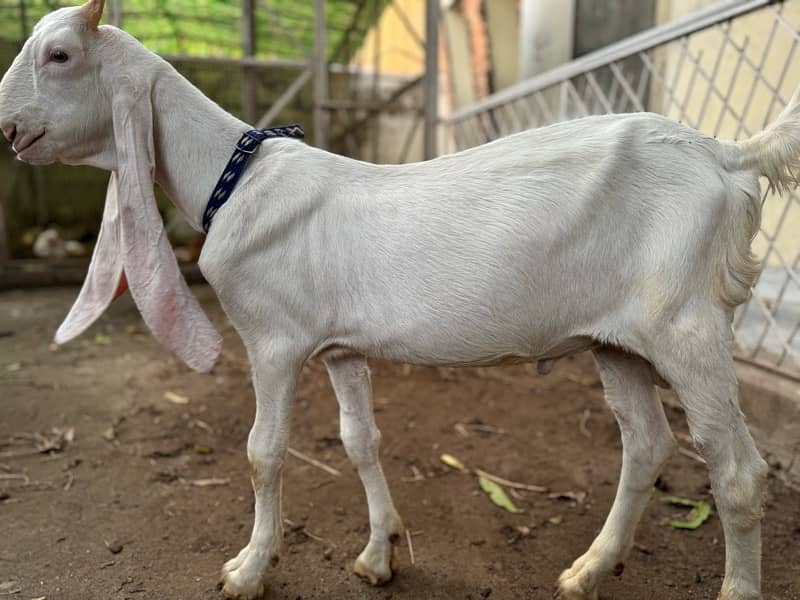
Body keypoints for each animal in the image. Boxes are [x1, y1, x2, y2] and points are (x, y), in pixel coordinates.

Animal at [3, 2, 796, 596]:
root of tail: (723, 154)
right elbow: (360, 440)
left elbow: (264, 451)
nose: (9, 129)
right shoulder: (339, 349)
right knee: (647, 443)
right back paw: (588, 570)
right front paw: (379, 554)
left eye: (61, 56)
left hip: (687, 326)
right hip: (617, 340)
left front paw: (249, 569)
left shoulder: (274, 342)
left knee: (737, 472)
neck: (235, 179)